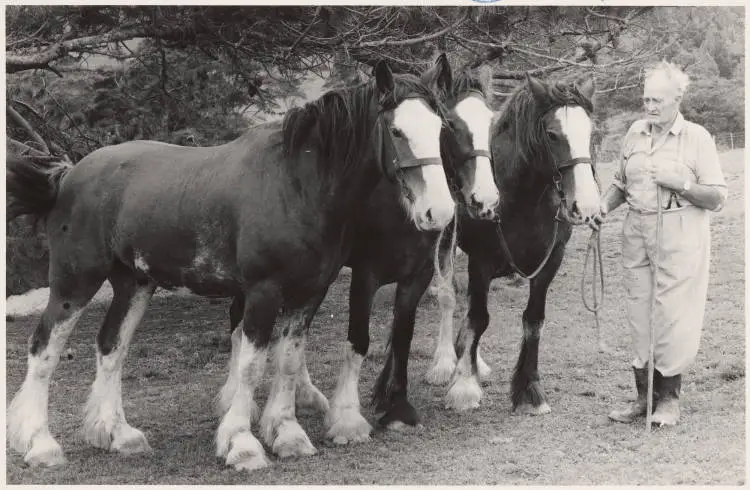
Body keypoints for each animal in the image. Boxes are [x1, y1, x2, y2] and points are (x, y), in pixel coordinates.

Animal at [7, 61, 458, 470]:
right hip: (75, 282)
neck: (296, 184)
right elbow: (251, 366)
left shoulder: (309, 293)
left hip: (134, 284)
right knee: (44, 349)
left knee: (110, 347)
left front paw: (288, 435)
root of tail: (68, 176)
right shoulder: (262, 292)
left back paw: (118, 435)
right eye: (396, 131)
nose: (439, 212)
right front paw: (243, 444)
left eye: (440, 129)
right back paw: (40, 445)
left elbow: (289, 359)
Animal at [222, 54, 506, 444]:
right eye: (452, 126)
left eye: (490, 124)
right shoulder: (365, 274)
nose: (485, 200)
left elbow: (405, 331)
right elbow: (358, 338)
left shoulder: (418, 271)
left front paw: (397, 403)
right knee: (242, 322)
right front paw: (347, 417)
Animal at [378, 72, 604, 418]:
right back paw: (445, 362)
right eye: (552, 134)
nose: (587, 205)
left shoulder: (549, 263)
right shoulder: (481, 262)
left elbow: (533, 320)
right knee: (448, 298)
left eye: (591, 132)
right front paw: (464, 387)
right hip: (444, 243)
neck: (521, 198)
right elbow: (478, 318)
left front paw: (529, 389)